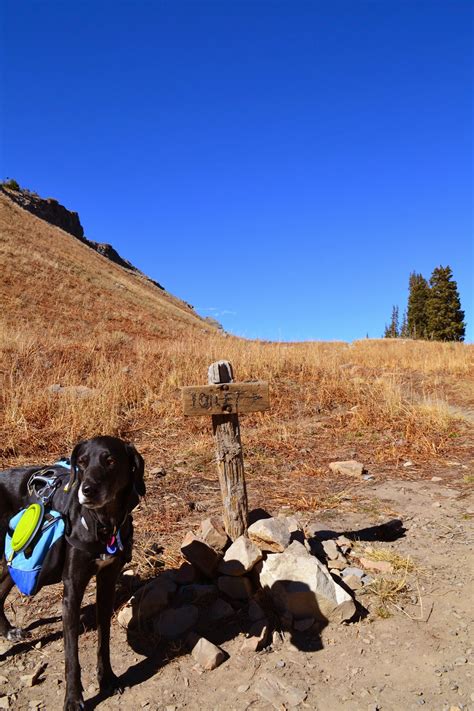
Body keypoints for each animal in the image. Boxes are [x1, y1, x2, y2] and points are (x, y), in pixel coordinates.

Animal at [0, 436, 145, 708]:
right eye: (82, 462)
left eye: (110, 461)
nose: (87, 490)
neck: (103, 524)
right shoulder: (72, 591)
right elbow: (71, 657)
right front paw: (74, 699)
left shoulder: (107, 583)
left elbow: (103, 642)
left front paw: (107, 679)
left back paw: (8, 631)